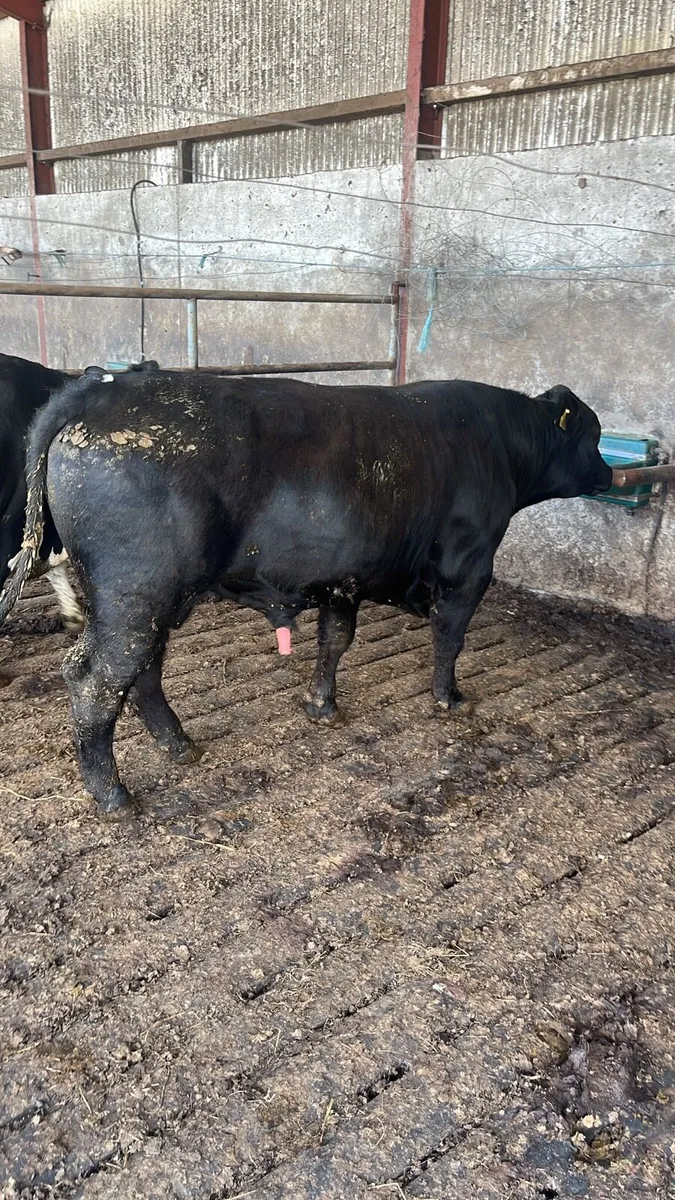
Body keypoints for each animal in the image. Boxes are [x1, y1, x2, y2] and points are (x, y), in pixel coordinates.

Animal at [0, 369, 612, 813]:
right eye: (594, 434)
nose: (609, 475)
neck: (500, 444)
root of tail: (102, 389)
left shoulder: (343, 578)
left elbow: (334, 641)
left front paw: (323, 704)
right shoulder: (469, 570)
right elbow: (449, 639)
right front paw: (450, 698)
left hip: (150, 600)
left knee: (140, 671)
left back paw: (179, 745)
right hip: (135, 595)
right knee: (96, 681)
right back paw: (113, 795)